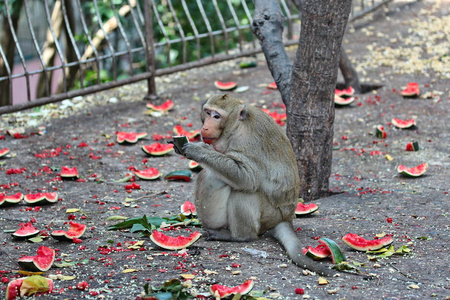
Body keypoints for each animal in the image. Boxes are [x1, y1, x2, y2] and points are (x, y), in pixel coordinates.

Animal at [180, 94, 334, 276]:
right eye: (208, 112)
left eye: (217, 116)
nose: (205, 127)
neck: (236, 126)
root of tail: (286, 217)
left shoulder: (245, 141)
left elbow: (247, 177)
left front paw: (198, 150)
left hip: (269, 215)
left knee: (243, 191)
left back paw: (240, 236)